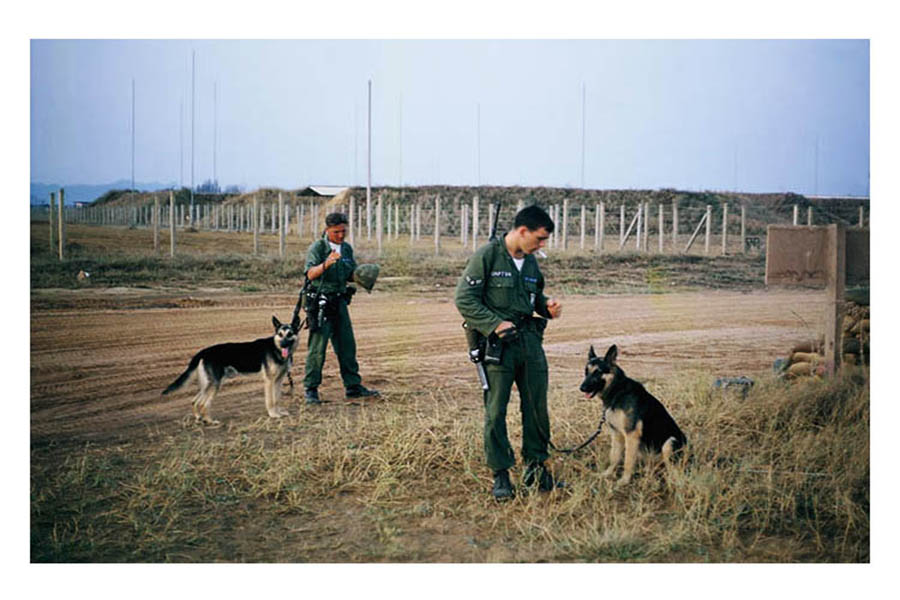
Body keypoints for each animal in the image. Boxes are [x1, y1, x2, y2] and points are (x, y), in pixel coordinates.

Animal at [162, 316, 298, 424]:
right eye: (280, 334)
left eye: (289, 334)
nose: (284, 345)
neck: (276, 348)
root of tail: (203, 352)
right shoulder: (269, 381)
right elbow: (270, 400)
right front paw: (273, 415)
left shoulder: (278, 381)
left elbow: (277, 399)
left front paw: (279, 412)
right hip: (214, 385)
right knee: (203, 404)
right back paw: (210, 421)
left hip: (209, 384)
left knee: (194, 401)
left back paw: (199, 418)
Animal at [580, 344, 684, 486]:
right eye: (586, 371)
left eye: (598, 372)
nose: (582, 388)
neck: (617, 391)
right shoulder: (617, 434)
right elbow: (614, 457)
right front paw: (607, 474)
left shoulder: (631, 435)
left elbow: (628, 461)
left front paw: (623, 481)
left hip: (669, 443)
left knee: (673, 471)